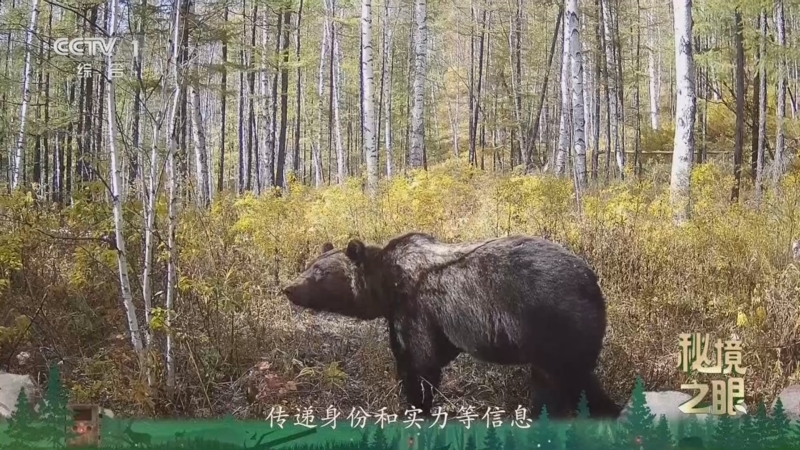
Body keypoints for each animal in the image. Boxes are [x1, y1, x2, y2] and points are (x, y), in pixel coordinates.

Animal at [282, 232, 621, 420]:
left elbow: (418, 362)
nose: (288, 287)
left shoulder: (416, 307)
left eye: (319, 272)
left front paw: (416, 406)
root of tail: (590, 279)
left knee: (567, 380)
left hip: (550, 321)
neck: (386, 286)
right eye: (310, 265)